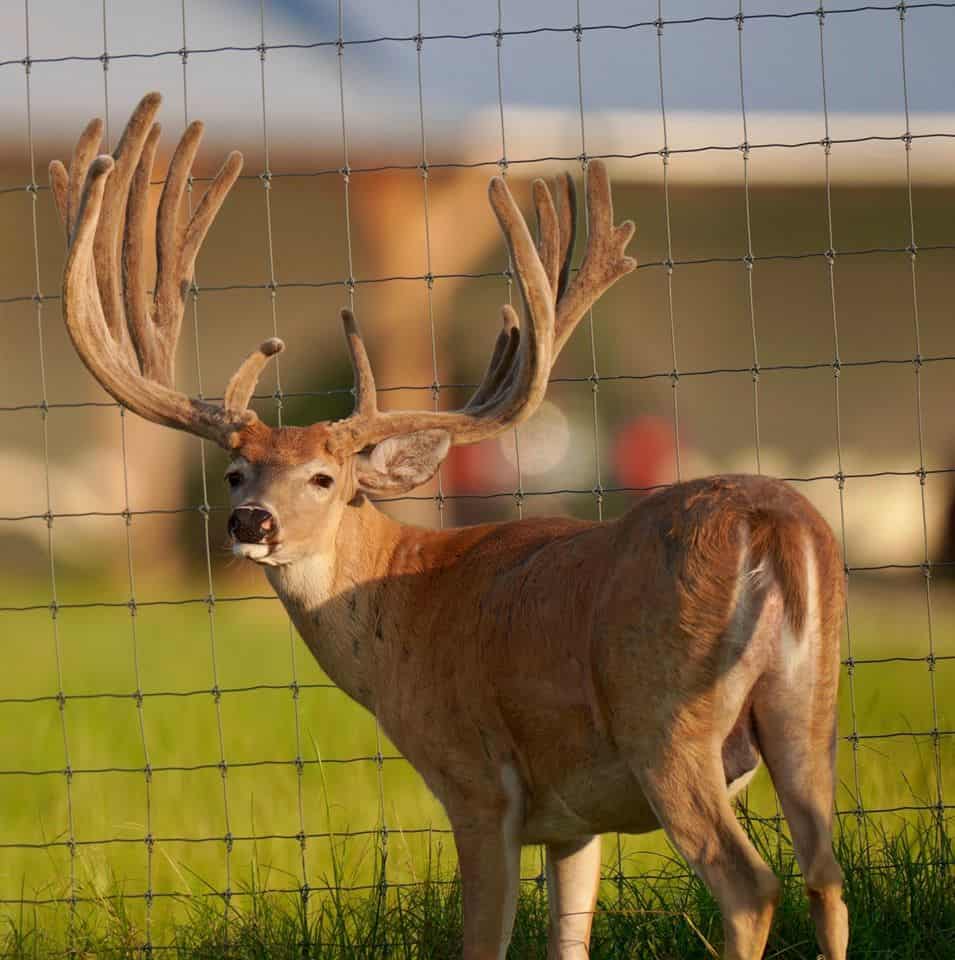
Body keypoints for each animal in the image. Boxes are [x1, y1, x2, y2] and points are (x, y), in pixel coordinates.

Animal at [51, 93, 848, 960]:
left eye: (324, 478)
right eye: (237, 472)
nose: (249, 520)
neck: (406, 605)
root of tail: (768, 523)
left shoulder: (475, 781)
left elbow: (483, 940)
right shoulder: (572, 820)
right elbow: (567, 941)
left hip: (664, 719)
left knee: (749, 884)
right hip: (807, 706)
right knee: (826, 872)